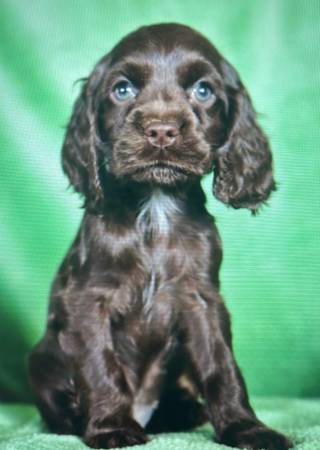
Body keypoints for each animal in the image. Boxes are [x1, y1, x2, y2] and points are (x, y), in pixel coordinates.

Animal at [28, 24, 292, 450]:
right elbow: (100, 365)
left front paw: (247, 428)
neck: (155, 208)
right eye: (122, 90)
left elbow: (223, 367)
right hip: (40, 359)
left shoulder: (202, 300)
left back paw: (183, 413)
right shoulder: (88, 298)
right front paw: (111, 426)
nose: (161, 130)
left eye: (203, 90)